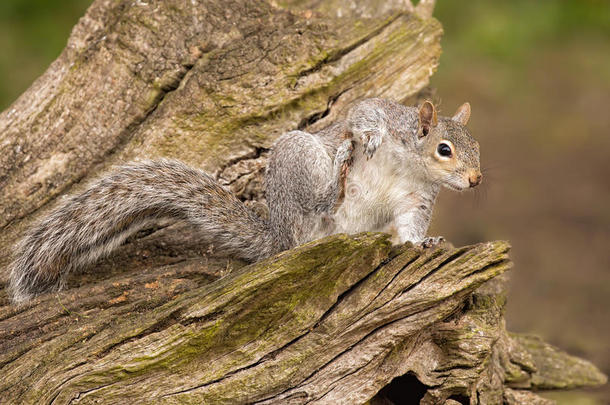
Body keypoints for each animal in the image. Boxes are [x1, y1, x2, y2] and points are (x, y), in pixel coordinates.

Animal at [5, 98, 480, 304]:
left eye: (476, 147)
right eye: (444, 149)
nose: (476, 179)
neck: (410, 165)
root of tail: (281, 239)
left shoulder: (416, 199)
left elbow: (410, 228)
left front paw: (423, 244)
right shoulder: (384, 113)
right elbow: (364, 114)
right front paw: (369, 137)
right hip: (298, 161)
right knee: (318, 203)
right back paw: (338, 178)